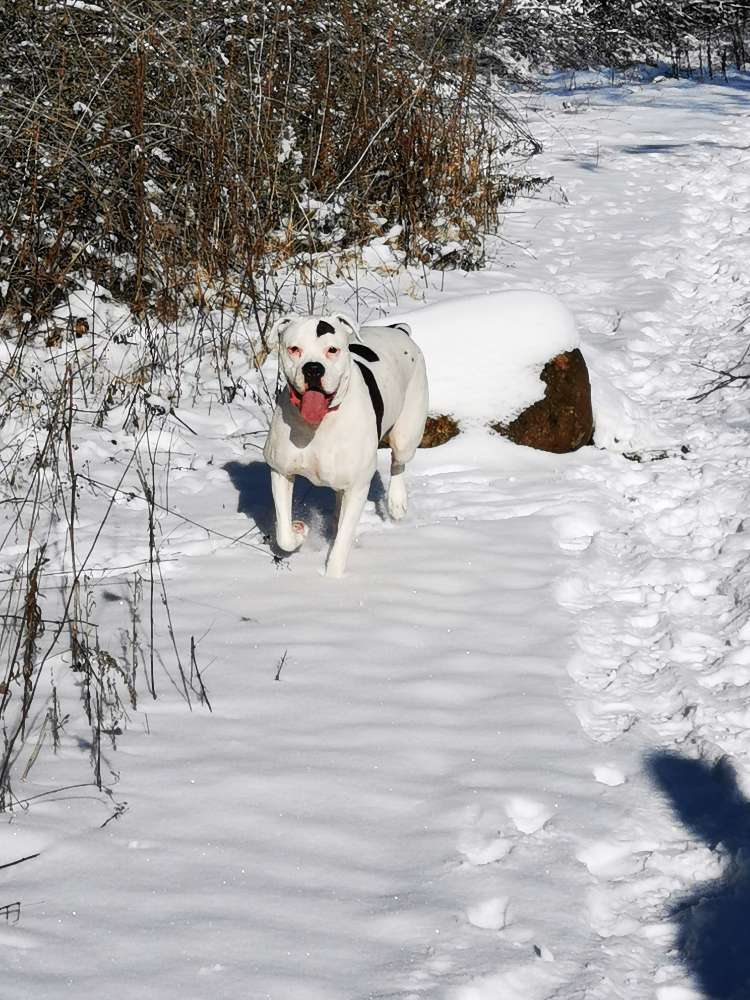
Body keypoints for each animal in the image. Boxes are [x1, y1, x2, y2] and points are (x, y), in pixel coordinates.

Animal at [264, 312, 428, 580]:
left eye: (332, 349)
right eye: (294, 349)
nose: (313, 368)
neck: (320, 424)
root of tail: (398, 329)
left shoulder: (358, 487)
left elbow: (342, 542)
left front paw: (332, 581)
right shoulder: (280, 470)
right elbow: (284, 535)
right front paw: (299, 531)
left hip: (408, 432)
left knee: (398, 462)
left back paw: (396, 503)